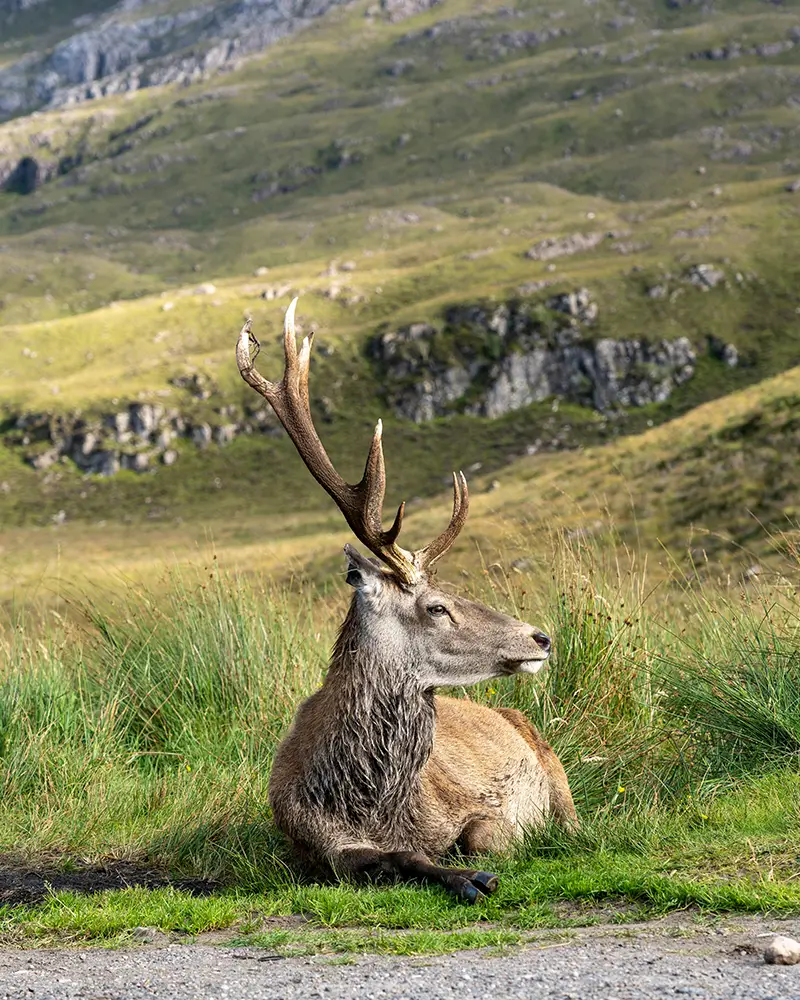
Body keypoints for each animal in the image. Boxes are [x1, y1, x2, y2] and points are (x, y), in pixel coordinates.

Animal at [236, 299, 577, 903]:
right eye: (437, 606)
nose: (541, 636)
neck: (374, 804)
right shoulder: (310, 840)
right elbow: (382, 858)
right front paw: (462, 878)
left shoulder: (482, 808)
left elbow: (478, 838)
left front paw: (476, 867)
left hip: (554, 766)